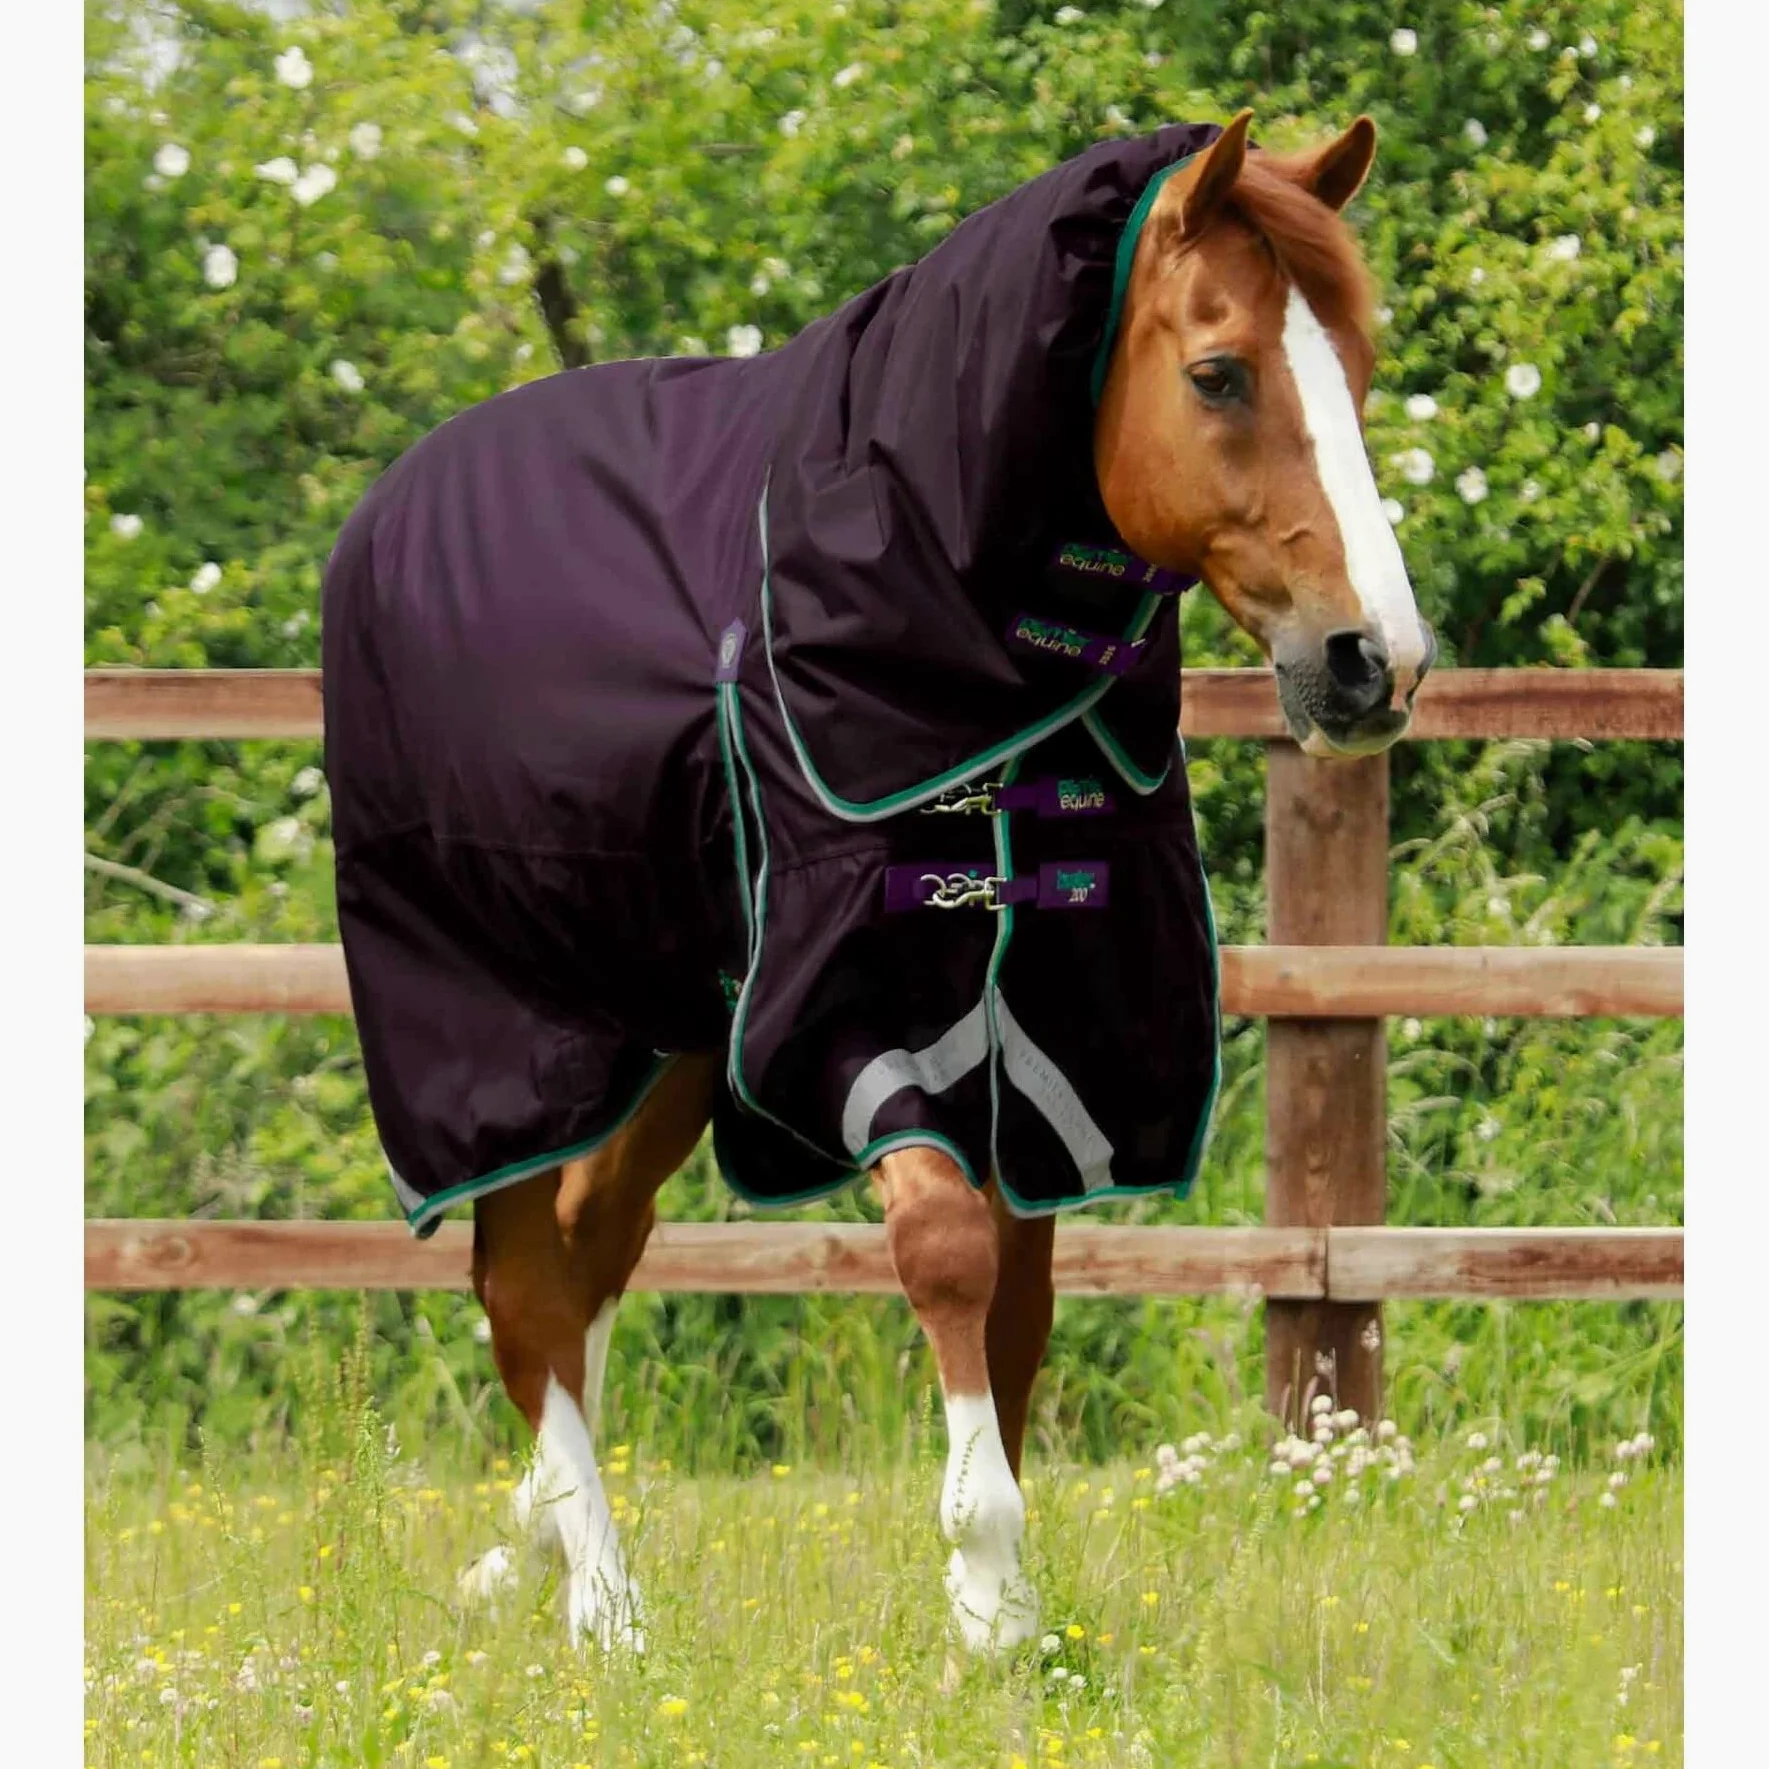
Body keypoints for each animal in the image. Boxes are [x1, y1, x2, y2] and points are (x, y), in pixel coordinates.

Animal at [319, 109, 1433, 1657]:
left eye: (1361, 364)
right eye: (1218, 372)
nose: (1373, 661)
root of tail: (389, 508)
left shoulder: (1049, 1030)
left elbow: (1022, 1305)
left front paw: (1012, 1606)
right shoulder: (854, 1010)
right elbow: (951, 1252)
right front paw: (983, 1590)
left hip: (673, 1026)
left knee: (586, 1252)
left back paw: (531, 1553)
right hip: (510, 1019)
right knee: (522, 1275)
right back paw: (605, 1607)